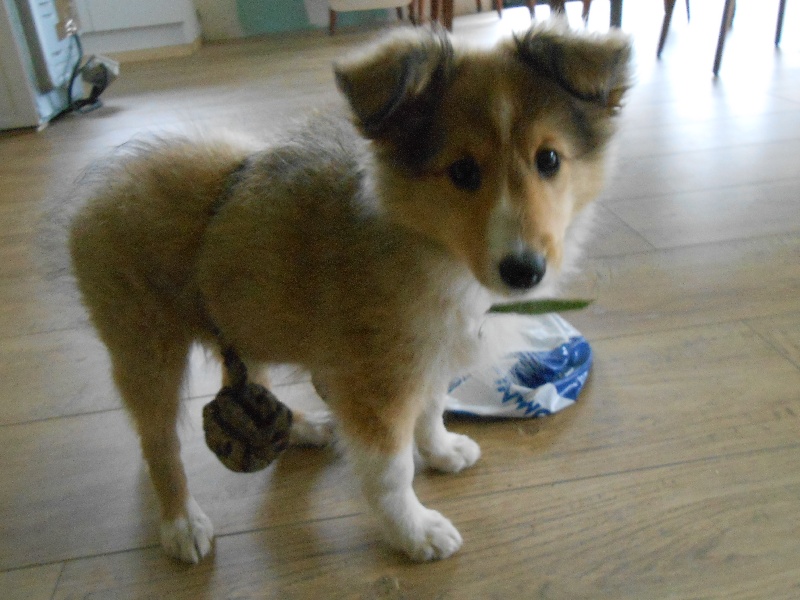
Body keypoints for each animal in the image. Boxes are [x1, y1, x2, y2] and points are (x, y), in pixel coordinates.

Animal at [69, 23, 632, 564]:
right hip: (146, 350)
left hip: (241, 316)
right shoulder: (377, 381)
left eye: (549, 159)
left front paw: (442, 451)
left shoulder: (428, 353)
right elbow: (392, 472)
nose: (524, 272)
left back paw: (301, 427)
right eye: (463, 171)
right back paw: (181, 522)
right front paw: (414, 533)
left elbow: (431, 408)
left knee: (241, 379)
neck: (427, 245)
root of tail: (108, 180)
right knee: (159, 440)